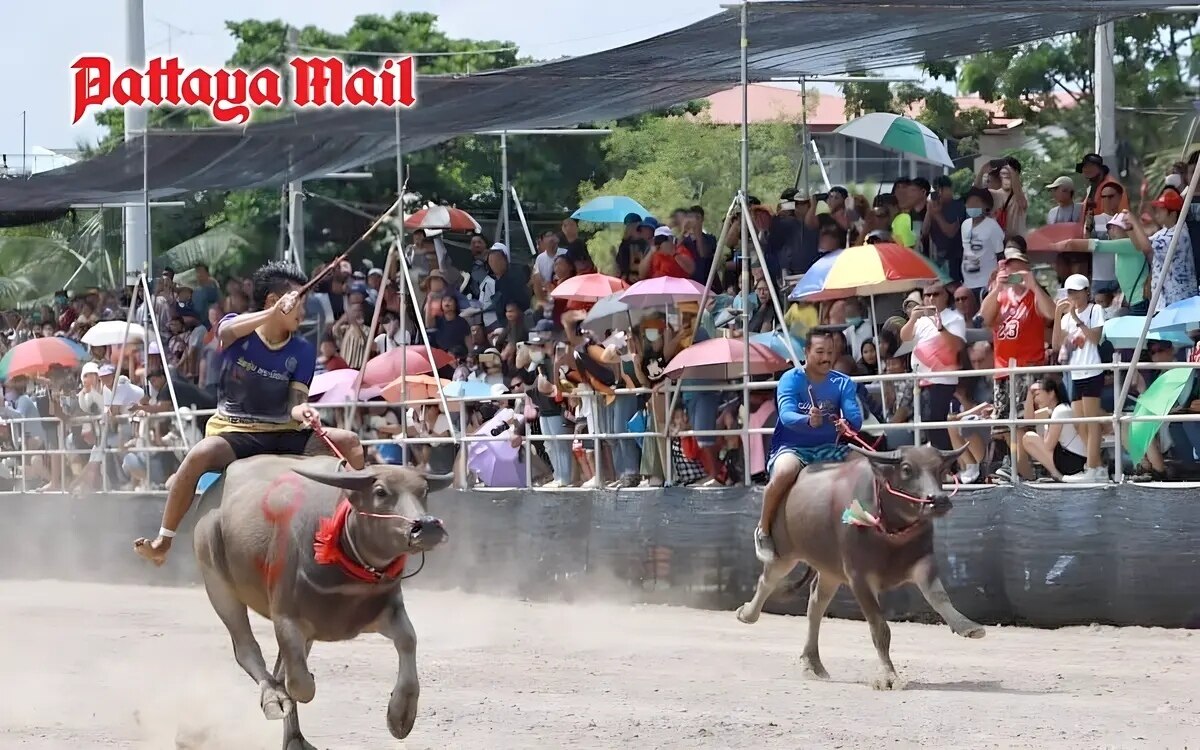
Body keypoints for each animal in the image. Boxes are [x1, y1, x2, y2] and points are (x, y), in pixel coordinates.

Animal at [196, 453, 451, 744]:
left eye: (424, 491)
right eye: (380, 492)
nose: (427, 526)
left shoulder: (384, 611)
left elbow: (408, 640)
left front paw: (400, 715)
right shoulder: (285, 617)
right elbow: (299, 684)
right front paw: (290, 692)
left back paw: (294, 738)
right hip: (217, 584)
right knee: (246, 649)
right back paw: (274, 700)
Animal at [739, 444, 984, 691]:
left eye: (940, 469)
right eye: (906, 469)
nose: (939, 500)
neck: (891, 532)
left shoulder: (923, 561)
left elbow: (939, 597)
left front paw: (967, 626)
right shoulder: (859, 578)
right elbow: (880, 628)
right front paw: (888, 677)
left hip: (830, 570)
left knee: (816, 603)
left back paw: (813, 663)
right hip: (785, 553)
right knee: (768, 580)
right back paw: (748, 614)